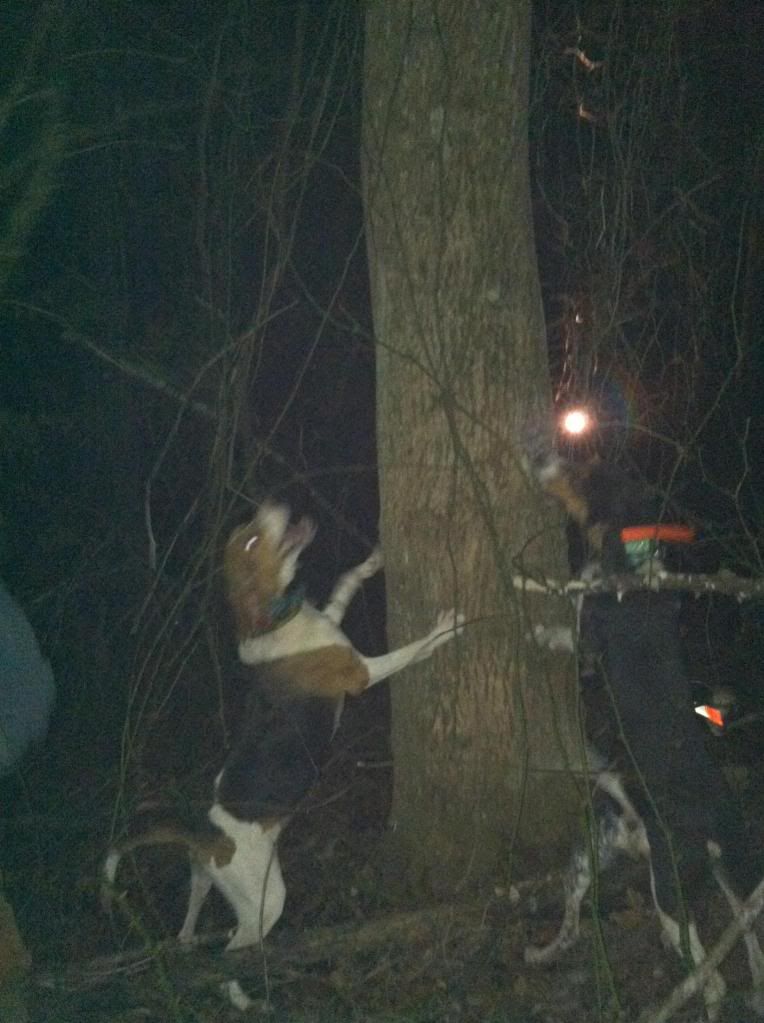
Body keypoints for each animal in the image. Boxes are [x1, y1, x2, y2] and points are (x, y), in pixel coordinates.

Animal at [102, 501, 463, 951]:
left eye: (249, 528)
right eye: (251, 541)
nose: (272, 503)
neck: (279, 620)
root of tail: (209, 835)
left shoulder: (331, 620)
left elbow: (343, 584)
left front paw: (369, 563)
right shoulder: (359, 673)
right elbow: (410, 652)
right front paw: (444, 630)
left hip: (203, 878)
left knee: (190, 916)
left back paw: (188, 939)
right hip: (266, 900)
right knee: (239, 941)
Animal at [523, 442, 764, 1019]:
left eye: (583, 473)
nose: (537, 453)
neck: (635, 560)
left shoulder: (587, 641)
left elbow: (564, 627)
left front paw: (534, 622)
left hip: (670, 895)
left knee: (711, 978)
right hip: (726, 874)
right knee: (750, 947)